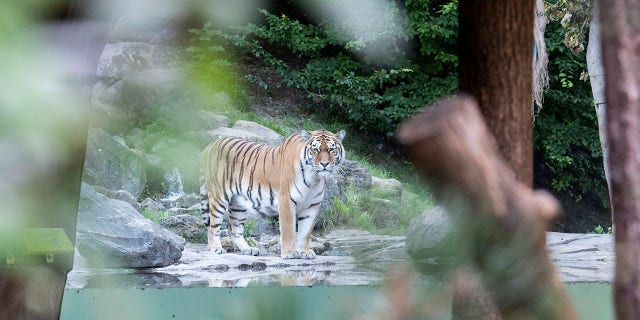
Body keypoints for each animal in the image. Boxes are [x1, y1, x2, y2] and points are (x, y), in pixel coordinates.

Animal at [204, 129, 344, 258]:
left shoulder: (312, 206)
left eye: (332, 149)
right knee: (212, 226)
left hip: (238, 204)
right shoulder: (286, 200)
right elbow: (288, 230)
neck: (314, 179)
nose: (324, 164)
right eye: (315, 150)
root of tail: (212, 144)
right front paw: (289, 252)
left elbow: (305, 232)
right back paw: (216, 248)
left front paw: (305, 252)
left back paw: (248, 249)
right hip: (218, 197)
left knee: (233, 229)